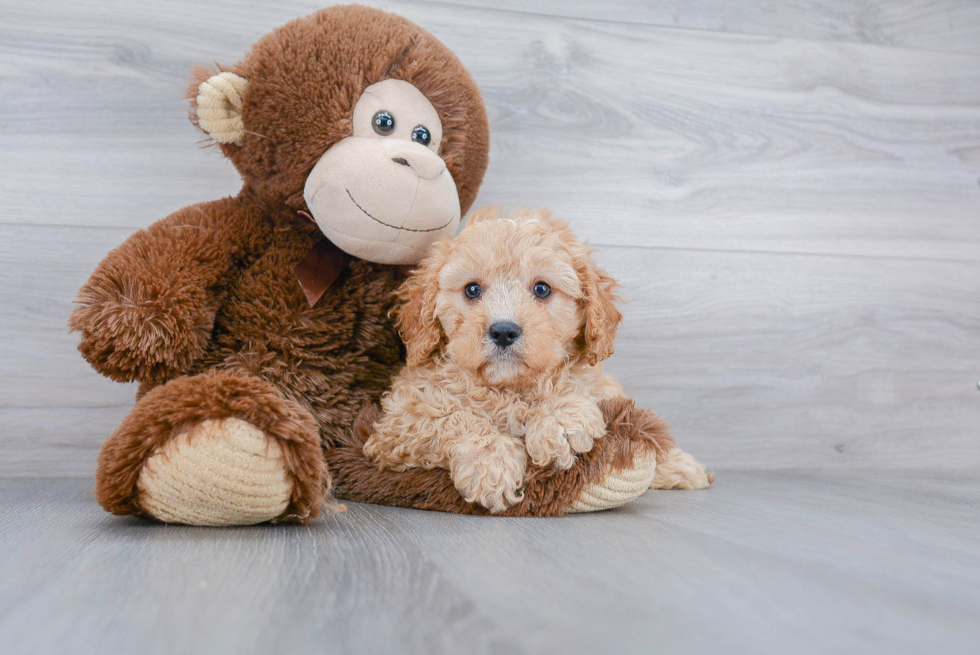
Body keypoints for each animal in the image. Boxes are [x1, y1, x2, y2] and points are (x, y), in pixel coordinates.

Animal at [366, 206, 636, 512]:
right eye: (472, 290)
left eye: (542, 289)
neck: (506, 390)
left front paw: (558, 420)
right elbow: (454, 417)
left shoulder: (602, 386)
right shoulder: (398, 424)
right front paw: (491, 465)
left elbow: (575, 385)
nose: (504, 331)